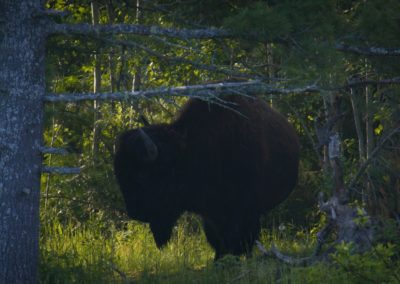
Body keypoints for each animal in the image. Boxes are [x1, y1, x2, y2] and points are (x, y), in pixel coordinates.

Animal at [114, 96, 298, 260]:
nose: (135, 213)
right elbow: (217, 238)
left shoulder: (245, 210)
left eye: (142, 176)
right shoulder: (210, 214)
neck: (188, 151)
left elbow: (239, 237)